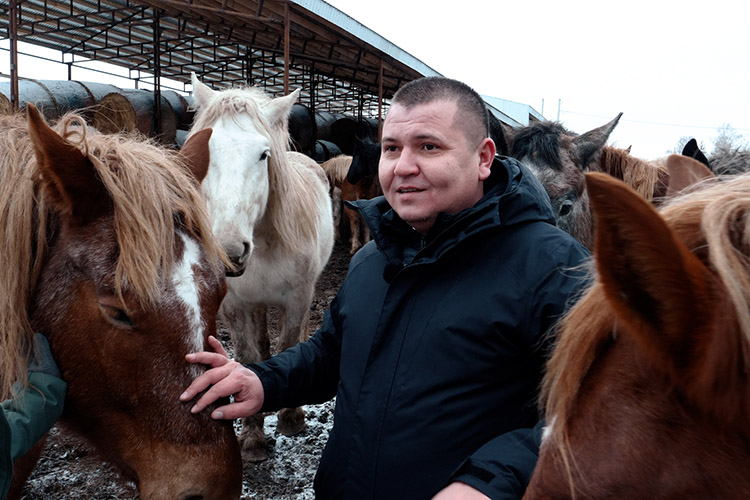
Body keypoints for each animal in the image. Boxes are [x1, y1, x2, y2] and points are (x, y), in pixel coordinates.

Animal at [188, 73, 334, 460]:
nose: (229, 250)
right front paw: (252, 434)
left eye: (263, 154)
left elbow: (289, 343)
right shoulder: (235, 305)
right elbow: (247, 353)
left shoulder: (297, 299)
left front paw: (291, 416)